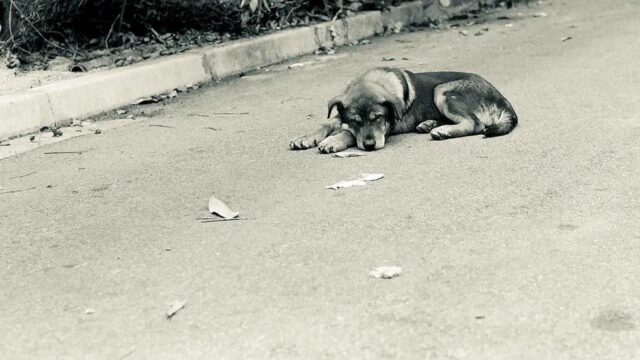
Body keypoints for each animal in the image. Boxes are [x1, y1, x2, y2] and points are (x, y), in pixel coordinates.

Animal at [288, 67, 516, 153]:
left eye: (378, 118)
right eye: (355, 121)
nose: (369, 146)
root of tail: (503, 98)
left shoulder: (387, 128)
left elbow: (348, 134)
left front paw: (333, 141)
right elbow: (328, 123)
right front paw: (305, 137)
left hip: (442, 91)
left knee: (475, 124)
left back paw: (442, 131)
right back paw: (428, 124)